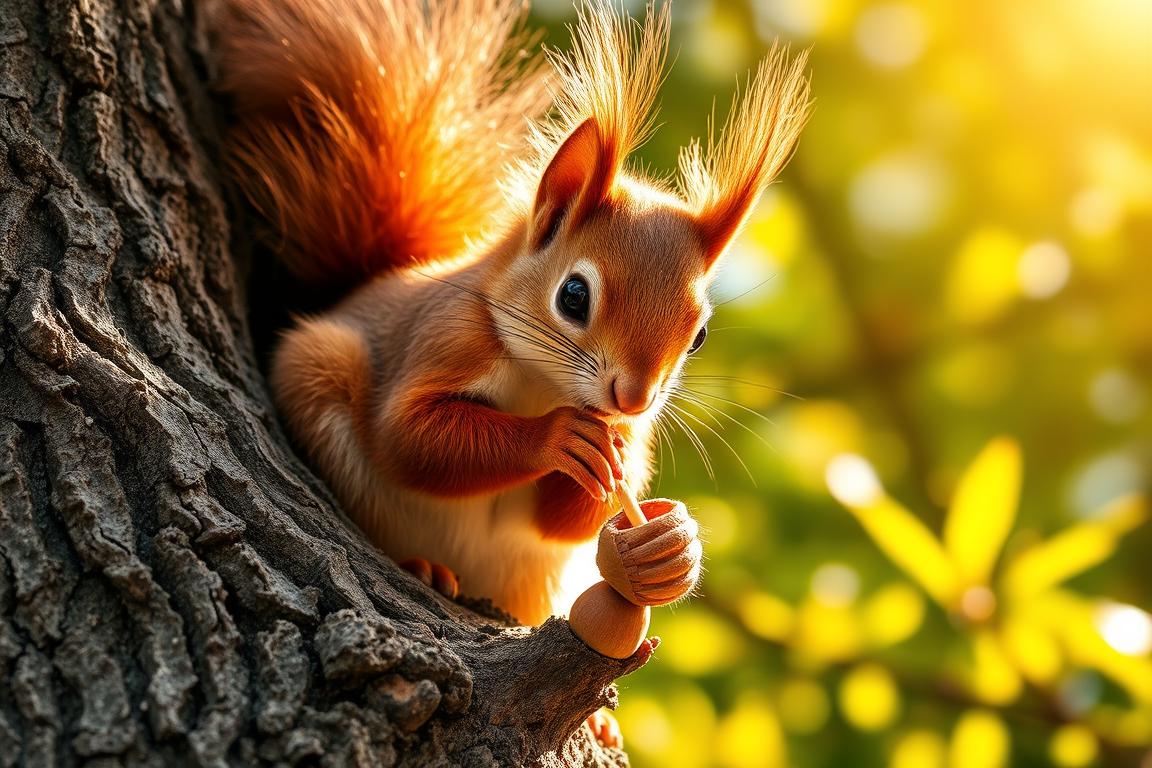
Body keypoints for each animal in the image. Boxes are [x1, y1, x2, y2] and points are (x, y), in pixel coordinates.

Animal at [216, 0, 810, 627]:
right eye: (573, 296)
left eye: (698, 335)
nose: (633, 399)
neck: (542, 383)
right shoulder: (447, 337)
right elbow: (409, 437)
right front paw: (557, 438)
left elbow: (562, 521)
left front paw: (670, 535)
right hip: (321, 367)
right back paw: (421, 566)